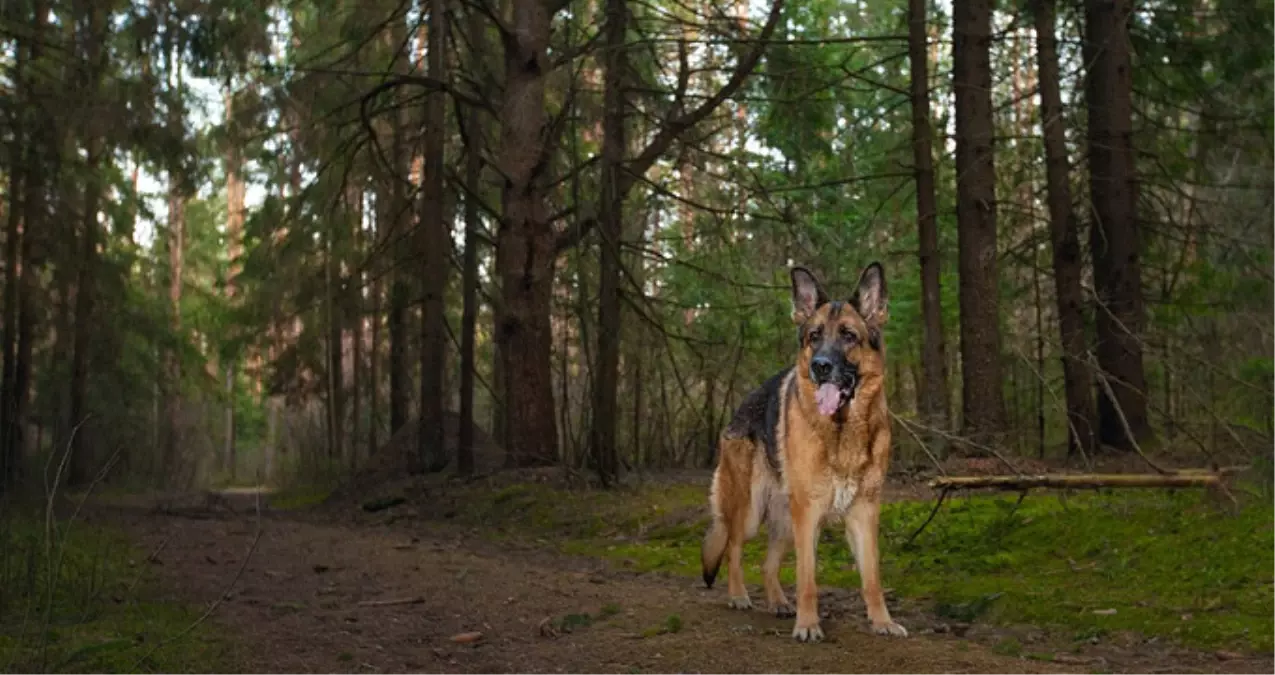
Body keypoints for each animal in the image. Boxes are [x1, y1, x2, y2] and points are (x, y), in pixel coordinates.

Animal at [698, 260, 907, 640]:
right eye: (814, 337)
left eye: (849, 336)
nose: (820, 366)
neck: (841, 430)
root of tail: (738, 411)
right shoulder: (808, 514)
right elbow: (807, 578)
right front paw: (808, 625)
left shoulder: (863, 513)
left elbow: (872, 578)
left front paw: (882, 621)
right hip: (750, 511)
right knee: (733, 547)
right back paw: (738, 595)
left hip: (783, 519)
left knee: (767, 564)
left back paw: (779, 603)